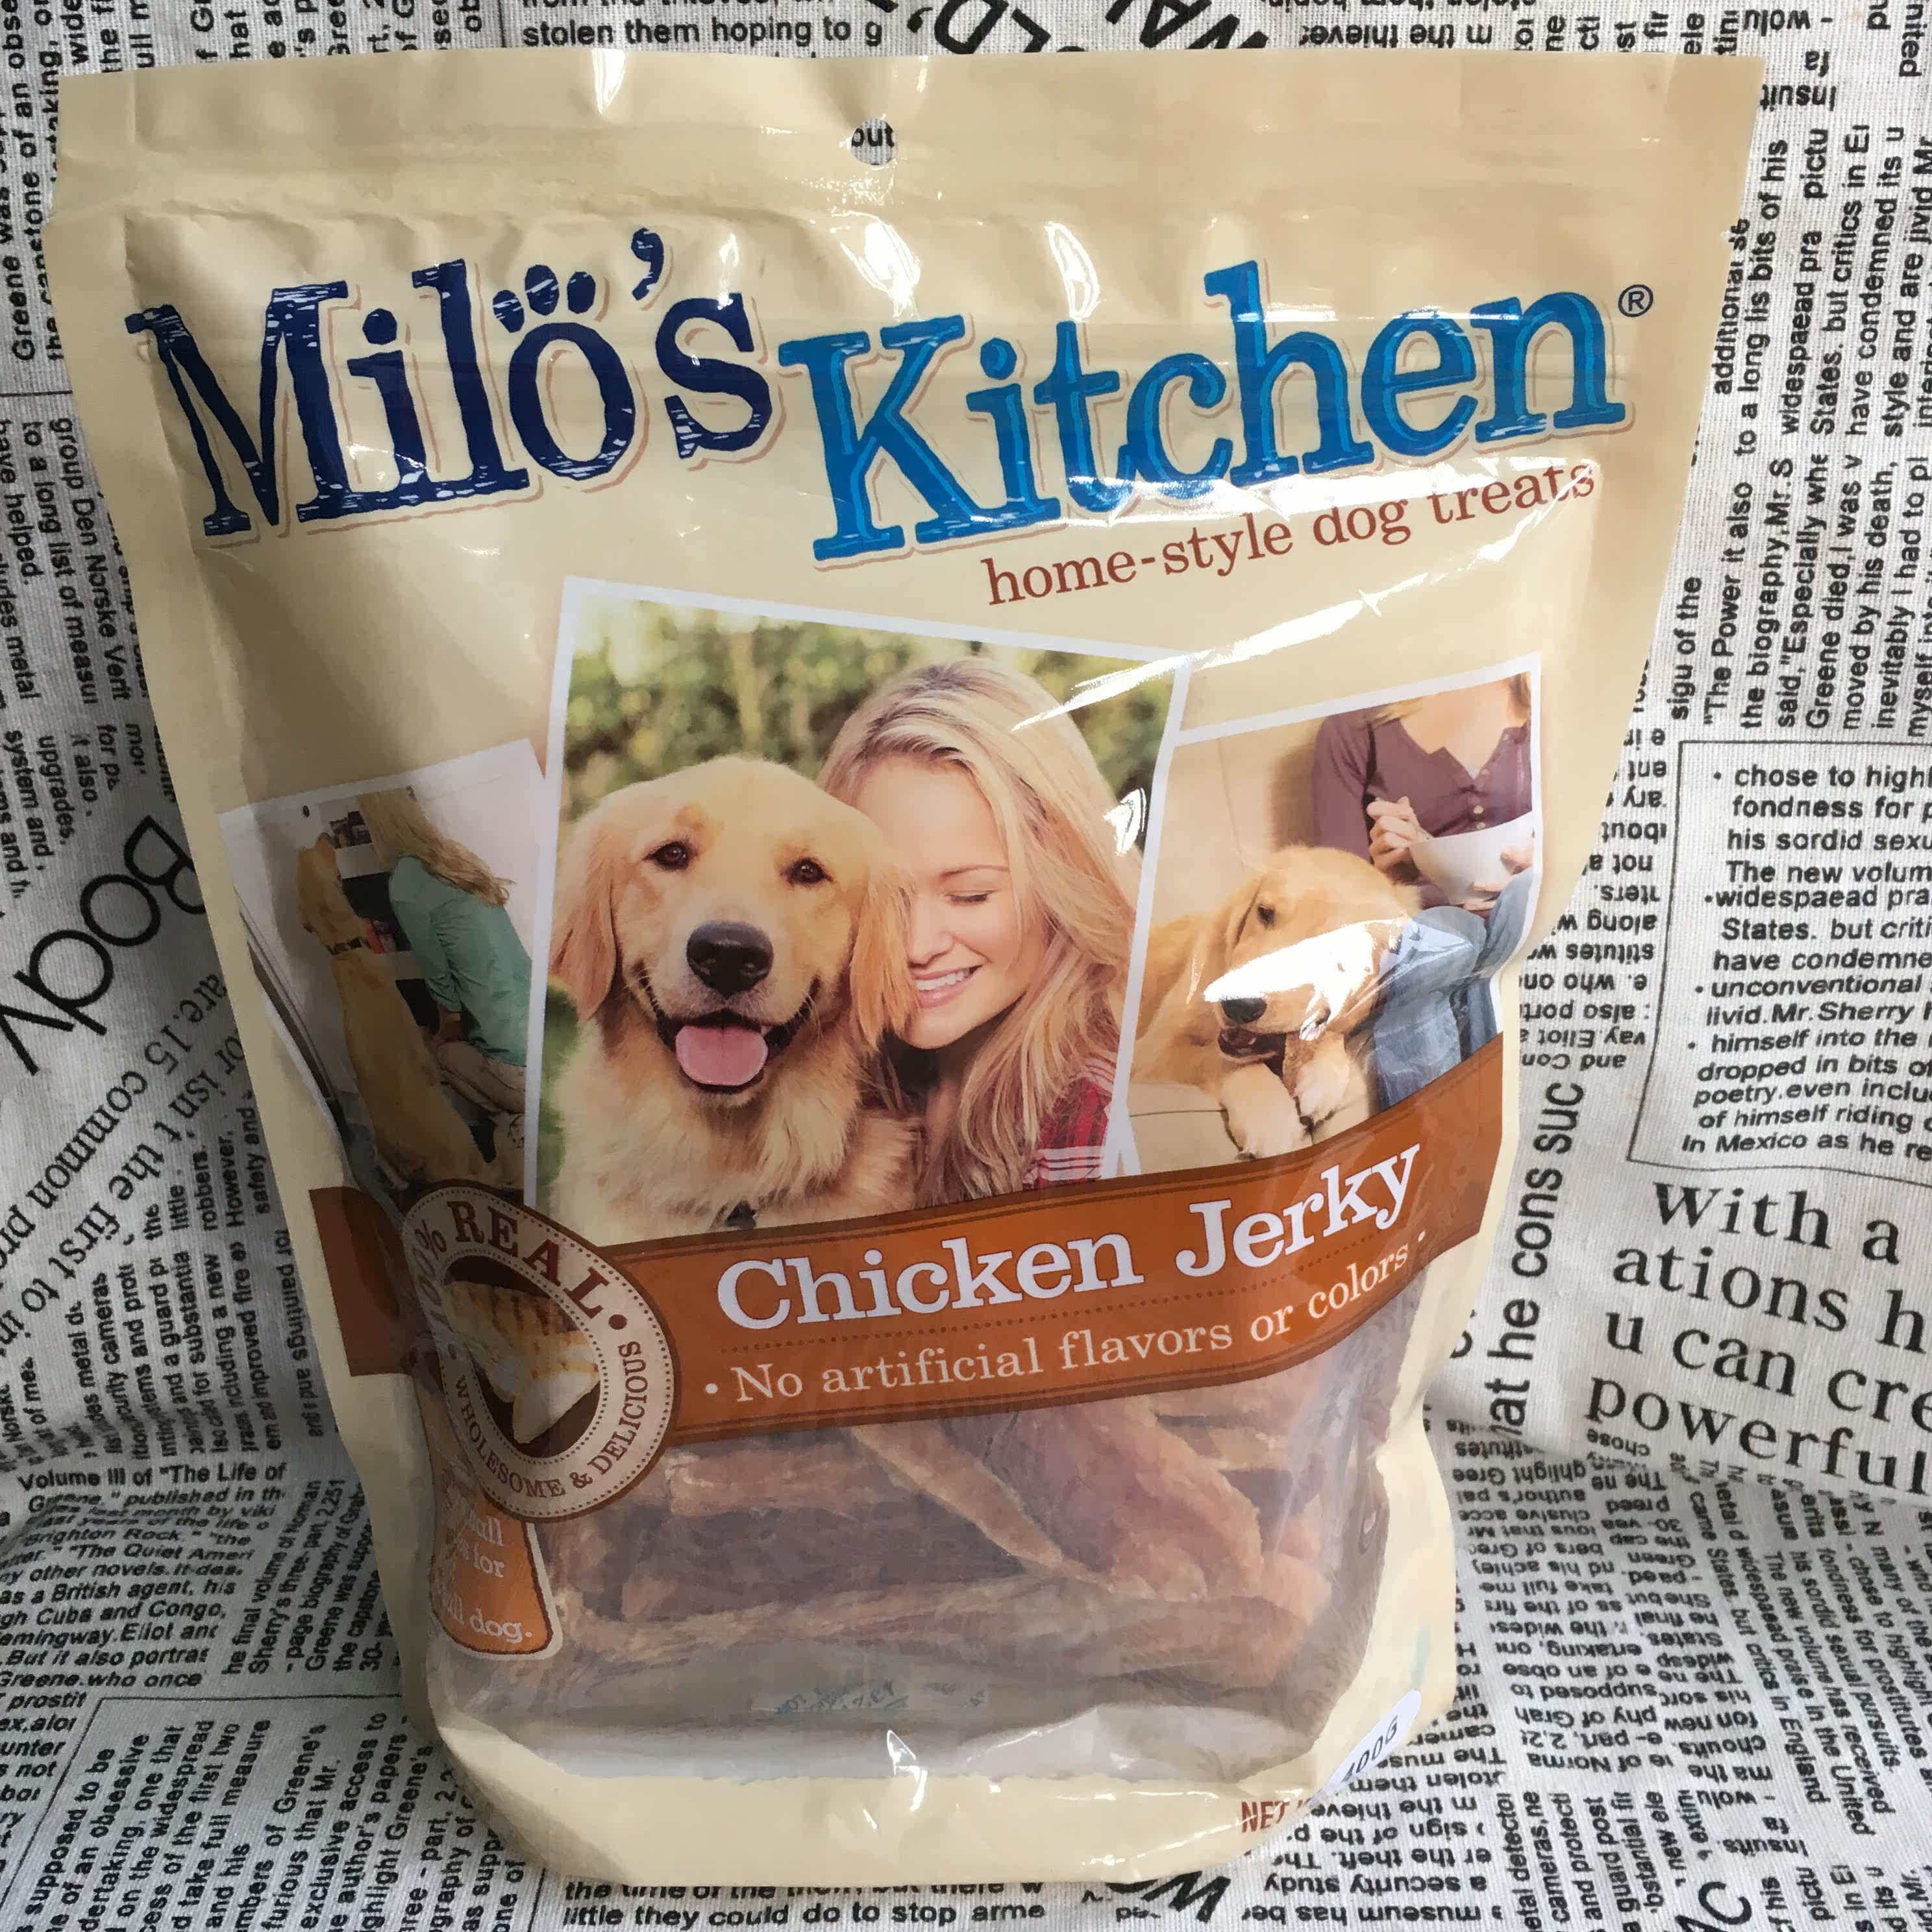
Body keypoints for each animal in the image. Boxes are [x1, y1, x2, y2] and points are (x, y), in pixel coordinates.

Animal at [295, 837, 516, 1191]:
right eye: (319, 854)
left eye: (305, 856)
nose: (323, 838)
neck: (346, 952)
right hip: (463, 1138)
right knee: (494, 1170)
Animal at [1135, 845, 1416, 1159]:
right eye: (1265, 913)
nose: (1237, 1004)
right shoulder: (1151, 1050)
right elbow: (1221, 1061)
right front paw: (1269, 1116)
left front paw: (1322, 1076)